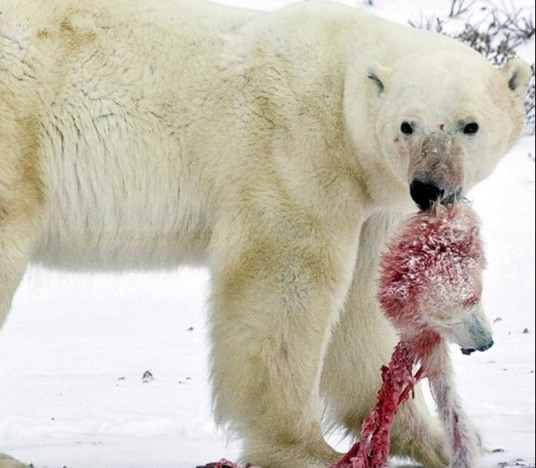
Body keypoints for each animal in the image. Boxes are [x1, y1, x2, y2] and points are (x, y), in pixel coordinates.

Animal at [0, 0, 528, 466]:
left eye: (470, 125)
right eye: (407, 125)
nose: (428, 187)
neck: (342, 88)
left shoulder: (371, 204)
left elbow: (360, 309)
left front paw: (433, 439)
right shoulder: (297, 150)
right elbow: (283, 282)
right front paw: (305, 451)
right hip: (19, 135)